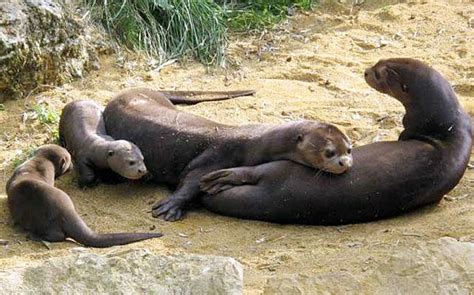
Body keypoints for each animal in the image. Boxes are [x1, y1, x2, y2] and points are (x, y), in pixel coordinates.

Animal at [5, 145, 163, 249]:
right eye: (70, 159)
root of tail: (66, 212)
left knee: (57, 236)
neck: (39, 161)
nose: (72, 166)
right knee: (57, 236)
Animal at [104, 86, 356, 221]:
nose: (345, 163)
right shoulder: (215, 155)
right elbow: (192, 181)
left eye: (349, 148)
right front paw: (170, 207)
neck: (256, 141)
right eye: (329, 152)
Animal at [199, 58, 470, 224]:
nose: (366, 71)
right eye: (380, 62)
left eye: (380, 74)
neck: (448, 126)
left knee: (253, 171)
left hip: (281, 170)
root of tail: (278, 199)